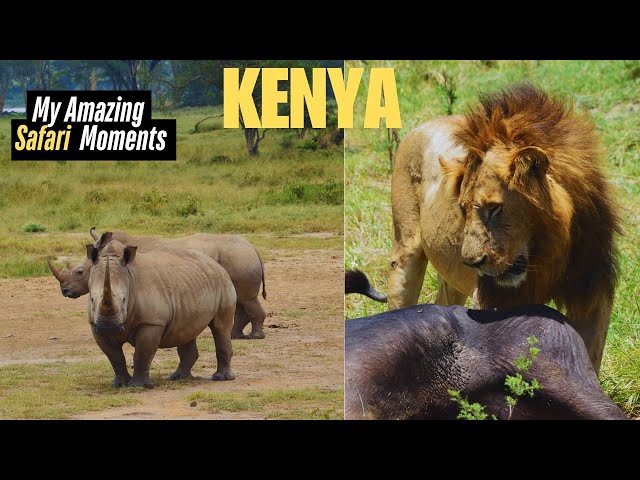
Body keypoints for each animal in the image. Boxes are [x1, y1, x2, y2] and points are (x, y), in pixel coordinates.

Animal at [84, 238, 235, 388]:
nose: (108, 327)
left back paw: (221, 378)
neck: (130, 278)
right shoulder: (94, 325)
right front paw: (120, 384)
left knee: (220, 328)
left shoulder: (152, 322)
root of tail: (214, 263)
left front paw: (138, 386)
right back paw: (179, 378)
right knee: (186, 329)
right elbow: (115, 357)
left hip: (223, 281)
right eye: (91, 299)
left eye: (124, 299)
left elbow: (142, 353)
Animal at [388, 84, 624, 374]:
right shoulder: (493, 299)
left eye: (493, 208)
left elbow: (589, 357)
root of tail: (422, 126)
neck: (547, 251)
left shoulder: (593, 291)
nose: (471, 262)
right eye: (463, 209)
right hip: (405, 252)